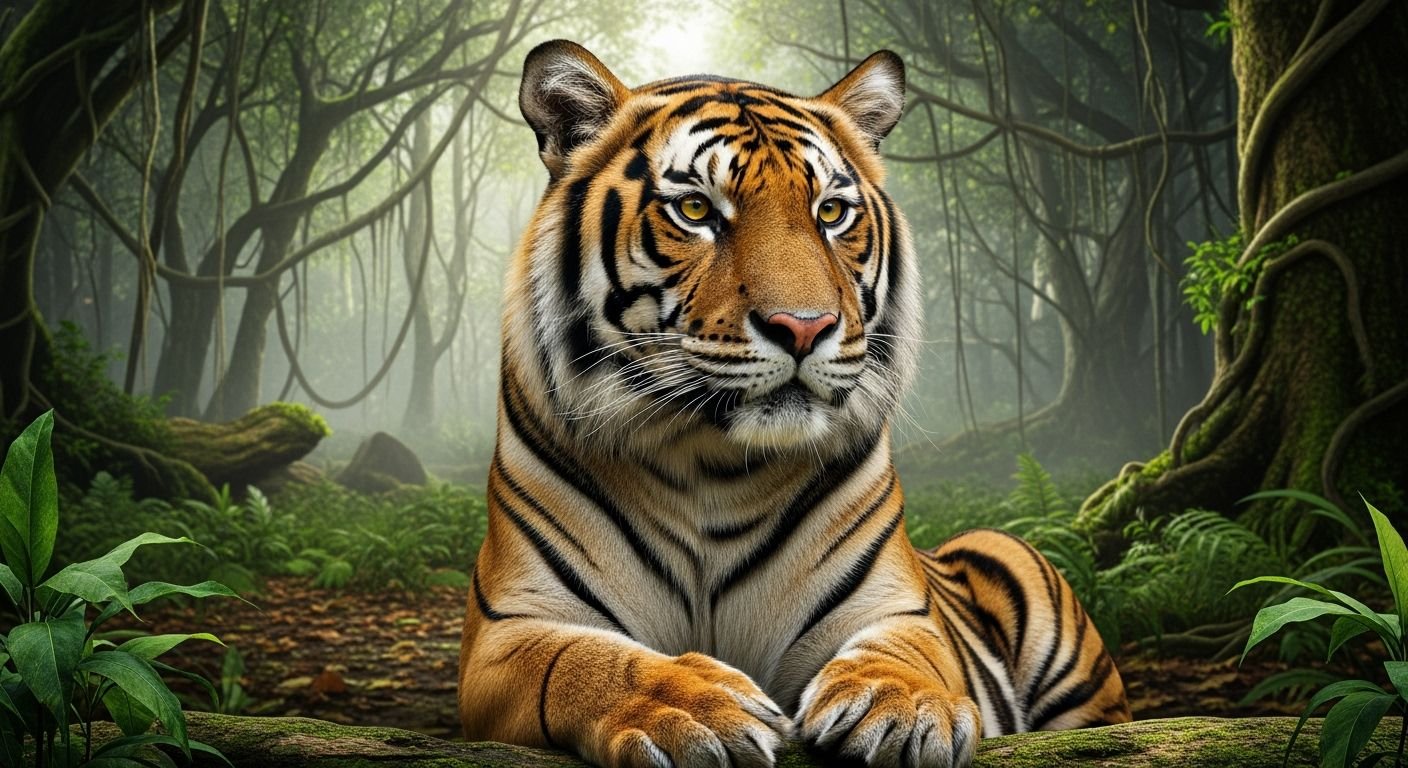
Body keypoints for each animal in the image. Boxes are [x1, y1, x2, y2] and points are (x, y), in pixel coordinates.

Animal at [458, 39, 1130, 768]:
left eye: (831, 213)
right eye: (695, 210)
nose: (805, 328)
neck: (710, 463)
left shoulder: (895, 610)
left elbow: (908, 654)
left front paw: (903, 707)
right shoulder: (511, 630)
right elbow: (589, 664)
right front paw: (693, 707)